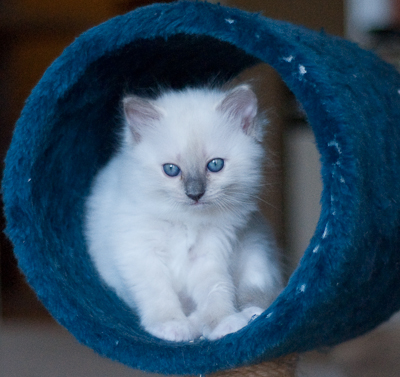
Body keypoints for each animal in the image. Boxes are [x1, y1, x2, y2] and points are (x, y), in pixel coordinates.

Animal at [86, 84, 282, 340]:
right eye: (171, 170)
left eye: (215, 165)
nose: (195, 194)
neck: (187, 222)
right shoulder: (141, 254)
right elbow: (159, 295)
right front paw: (171, 327)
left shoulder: (210, 256)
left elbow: (216, 294)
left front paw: (224, 324)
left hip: (257, 250)